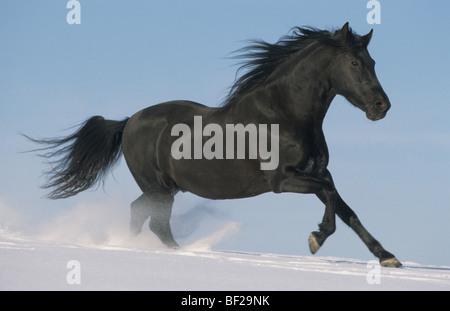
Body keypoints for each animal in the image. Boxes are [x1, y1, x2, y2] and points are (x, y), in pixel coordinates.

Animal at [27, 23, 400, 268]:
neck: (285, 113)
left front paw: (388, 258)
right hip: (158, 188)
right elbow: (331, 200)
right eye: (355, 63)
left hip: (163, 189)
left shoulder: (319, 172)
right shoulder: (283, 179)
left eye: (373, 62)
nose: (382, 106)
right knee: (156, 222)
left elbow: (345, 208)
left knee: (139, 213)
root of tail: (129, 121)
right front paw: (316, 238)